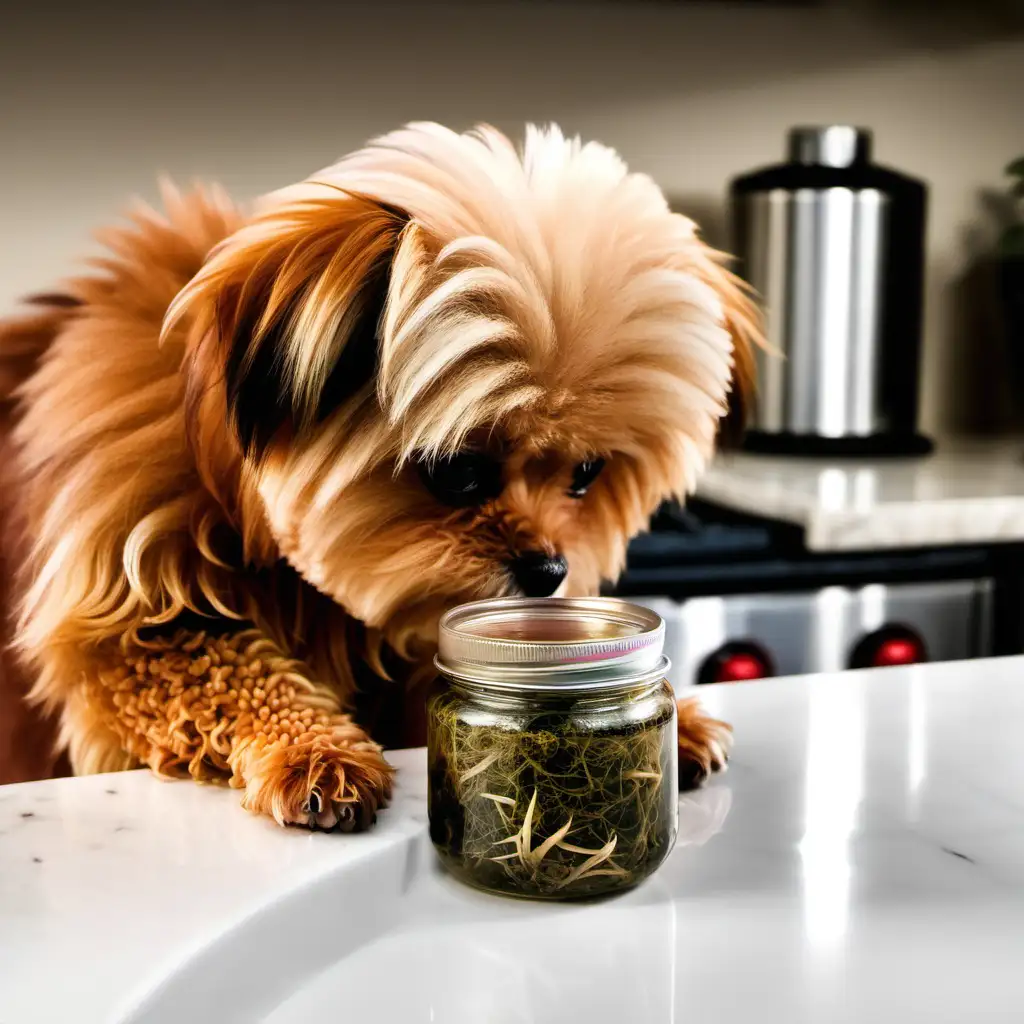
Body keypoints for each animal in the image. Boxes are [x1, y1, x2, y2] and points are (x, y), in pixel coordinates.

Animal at [0, 125, 753, 831]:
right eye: (459, 472)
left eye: (587, 475)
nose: (548, 572)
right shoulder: (129, 637)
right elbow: (238, 676)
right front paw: (314, 751)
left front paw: (669, 717)